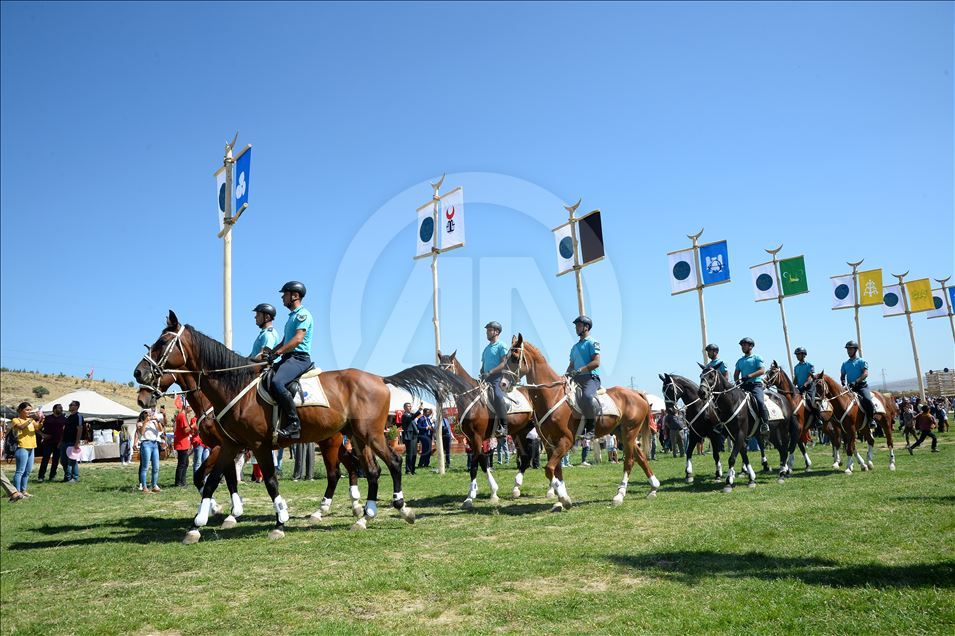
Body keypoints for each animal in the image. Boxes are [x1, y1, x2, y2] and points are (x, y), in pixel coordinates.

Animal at [135, 312, 470, 540]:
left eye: (162, 343)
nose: (138, 375)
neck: (234, 387)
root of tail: (379, 378)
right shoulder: (230, 445)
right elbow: (211, 480)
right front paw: (199, 524)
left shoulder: (257, 445)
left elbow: (269, 482)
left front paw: (278, 521)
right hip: (355, 438)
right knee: (369, 470)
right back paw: (363, 515)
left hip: (368, 434)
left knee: (393, 463)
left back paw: (399, 508)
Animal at [436, 350, 536, 510]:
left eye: (448, 368)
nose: (439, 391)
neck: (470, 397)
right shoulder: (471, 439)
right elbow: (479, 462)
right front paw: (475, 494)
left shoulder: (477, 437)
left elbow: (479, 464)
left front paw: (483, 494)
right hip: (519, 432)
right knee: (526, 457)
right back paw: (516, 488)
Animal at [500, 332, 656, 512]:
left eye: (514, 357)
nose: (503, 384)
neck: (552, 395)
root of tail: (636, 393)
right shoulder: (550, 443)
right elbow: (556, 471)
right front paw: (560, 499)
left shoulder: (566, 440)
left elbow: (549, 469)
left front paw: (564, 498)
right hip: (621, 434)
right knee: (641, 457)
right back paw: (653, 488)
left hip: (629, 433)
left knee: (630, 461)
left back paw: (619, 495)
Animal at [700, 362, 796, 492]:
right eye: (701, 376)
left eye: (711, 376)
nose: (701, 392)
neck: (732, 402)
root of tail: (783, 398)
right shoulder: (734, 436)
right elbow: (744, 456)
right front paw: (751, 479)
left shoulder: (740, 434)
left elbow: (732, 458)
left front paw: (728, 482)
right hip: (772, 434)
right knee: (781, 450)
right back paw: (782, 472)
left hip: (784, 430)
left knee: (785, 450)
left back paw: (782, 475)